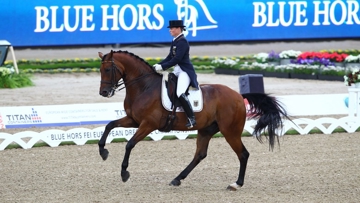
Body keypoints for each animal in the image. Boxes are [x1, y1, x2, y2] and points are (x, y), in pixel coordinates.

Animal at [97, 50, 292, 190]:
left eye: (108, 69)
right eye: (100, 70)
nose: (104, 93)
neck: (144, 87)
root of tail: (238, 95)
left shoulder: (148, 124)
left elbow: (129, 144)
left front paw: (124, 173)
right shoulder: (133, 120)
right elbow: (109, 126)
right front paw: (103, 152)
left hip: (230, 131)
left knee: (243, 154)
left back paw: (236, 184)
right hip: (206, 129)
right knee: (200, 154)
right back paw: (177, 179)